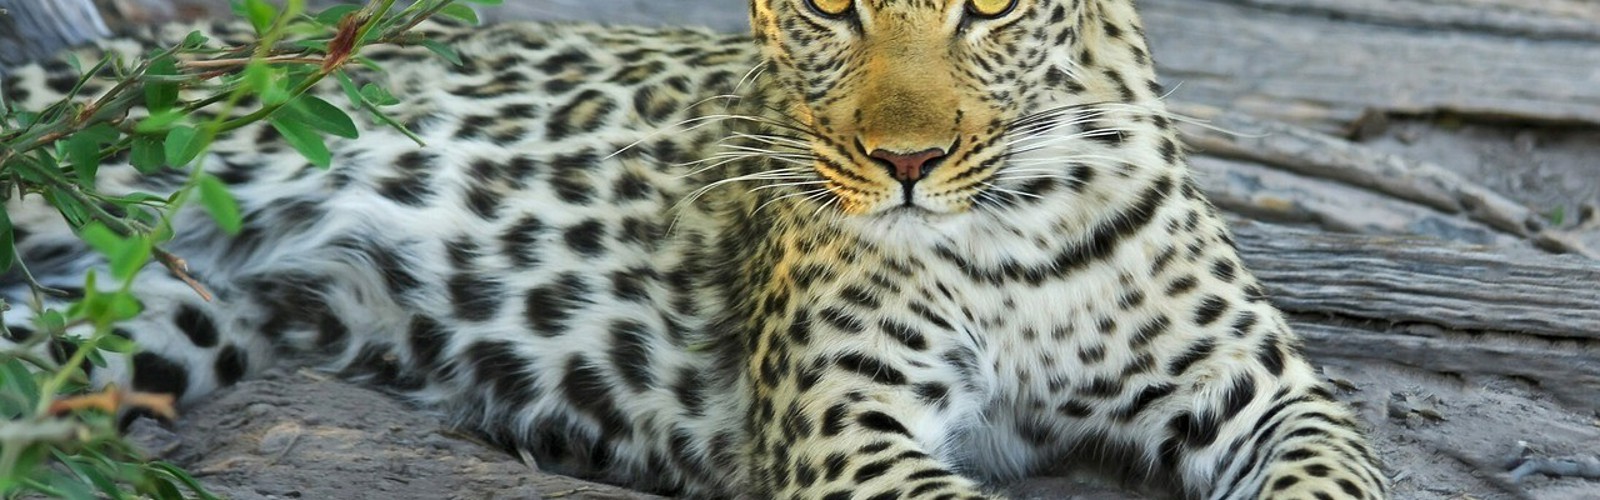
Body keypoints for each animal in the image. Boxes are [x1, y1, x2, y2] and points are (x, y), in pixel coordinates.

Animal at [1, 0, 1389, 498]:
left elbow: (1330, 480)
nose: (904, 161)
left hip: (150, 323)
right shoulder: (848, 431)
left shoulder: (1272, 394)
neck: (1015, 220)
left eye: (989, 7)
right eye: (830, 6)